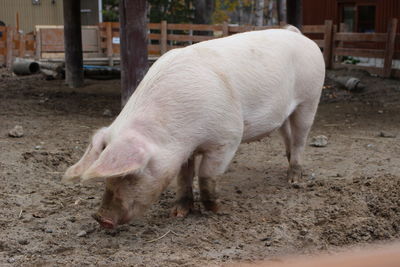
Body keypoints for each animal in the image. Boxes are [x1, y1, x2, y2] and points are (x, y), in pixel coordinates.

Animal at [62, 26, 324, 229]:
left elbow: (206, 175)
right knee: (287, 133)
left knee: (301, 137)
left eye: (131, 174)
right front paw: (178, 213)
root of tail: (298, 34)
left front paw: (217, 210)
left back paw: (294, 180)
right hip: (286, 111)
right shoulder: (182, 150)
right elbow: (183, 176)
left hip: (310, 98)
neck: (182, 136)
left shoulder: (228, 137)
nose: (100, 217)